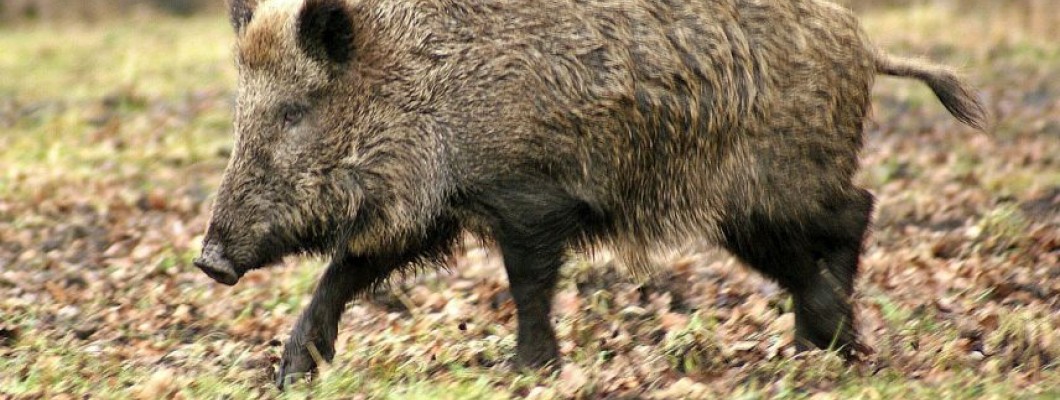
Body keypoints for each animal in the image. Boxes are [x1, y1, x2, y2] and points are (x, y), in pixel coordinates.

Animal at [193, 0, 987, 388]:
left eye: (296, 111)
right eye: (241, 108)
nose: (209, 260)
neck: (425, 77)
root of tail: (866, 45)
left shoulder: (528, 195)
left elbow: (528, 281)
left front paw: (526, 371)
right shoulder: (426, 208)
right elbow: (347, 268)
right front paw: (289, 374)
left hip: (771, 191)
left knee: (856, 212)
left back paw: (837, 348)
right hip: (758, 206)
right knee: (830, 237)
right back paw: (816, 349)